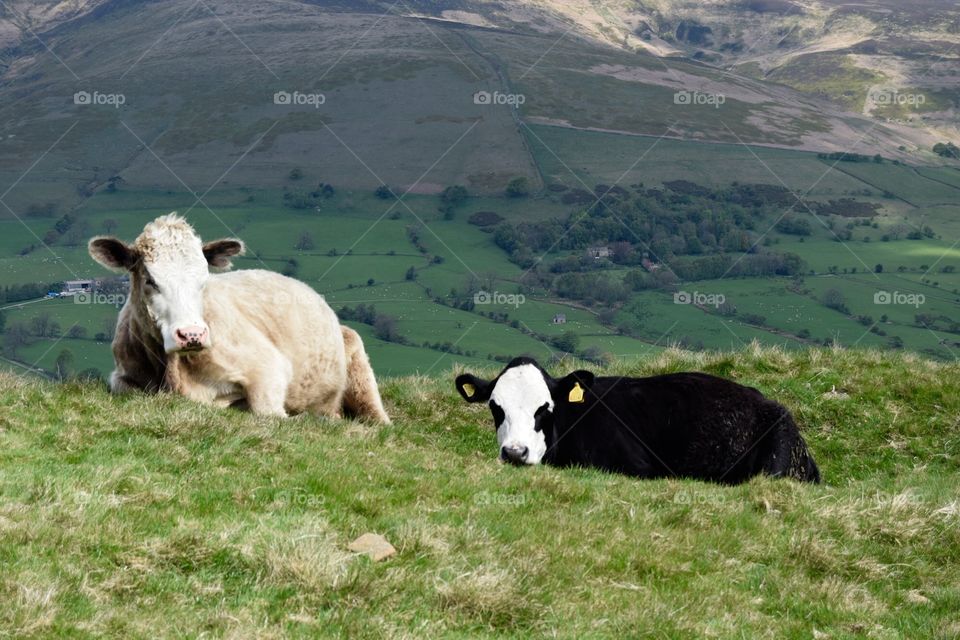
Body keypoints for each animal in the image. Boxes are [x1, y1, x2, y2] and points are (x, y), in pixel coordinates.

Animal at [88, 213, 390, 422]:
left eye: (204, 278)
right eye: (150, 279)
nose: (192, 335)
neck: (173, 372)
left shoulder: (269, 366)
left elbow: (267, 412)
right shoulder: (123, 377)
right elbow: (124, 388)